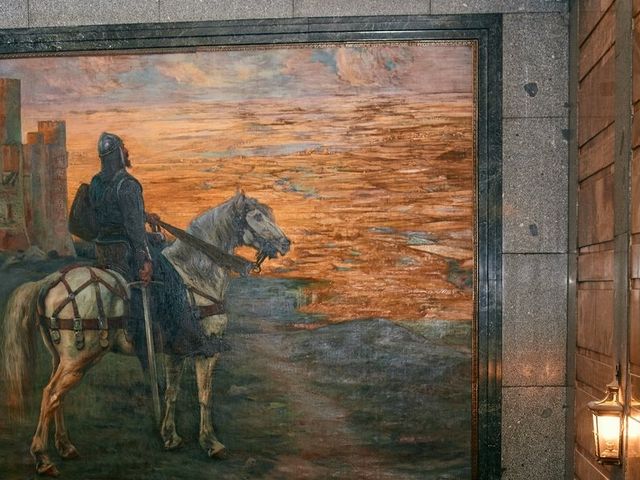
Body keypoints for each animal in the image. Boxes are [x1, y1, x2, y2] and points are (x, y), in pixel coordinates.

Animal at [0, 191, 290, 476]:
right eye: (258, 217)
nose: (286, 244)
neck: (196, 274)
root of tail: (49, 281)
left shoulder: (176, 352)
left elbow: (172, 392)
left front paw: (170, 436)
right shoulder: (207, 350)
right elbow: (205, 395)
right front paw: (211, 442)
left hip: (63, 359)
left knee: (58, 397)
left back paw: (65, 447)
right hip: (78, 359)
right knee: (50, 394)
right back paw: (42, 457)